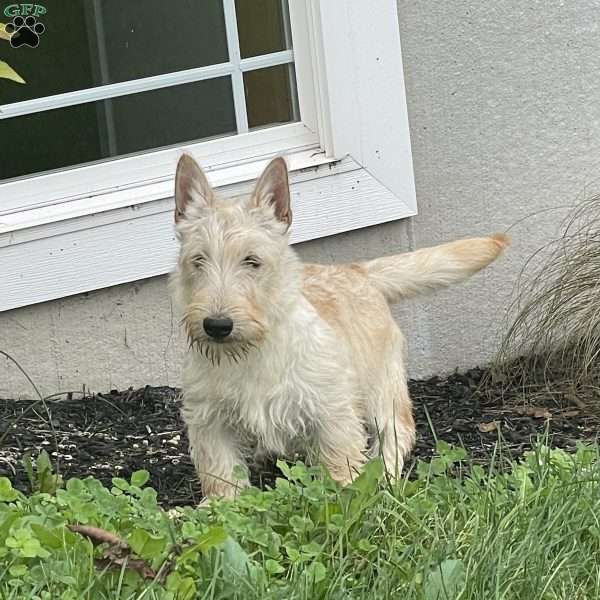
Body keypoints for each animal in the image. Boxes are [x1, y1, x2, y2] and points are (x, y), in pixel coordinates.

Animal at [171, 154, 508, 496]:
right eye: (198, 260)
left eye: (252, 261)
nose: (216, 325)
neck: (252, 349)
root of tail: (358, 270)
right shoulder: (209, 421)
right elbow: (221, 472)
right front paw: (222, 504)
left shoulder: (332, 410)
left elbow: (340, 460)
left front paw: (346, 493)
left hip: (381, 386)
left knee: (396, 431)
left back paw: (385, 474)